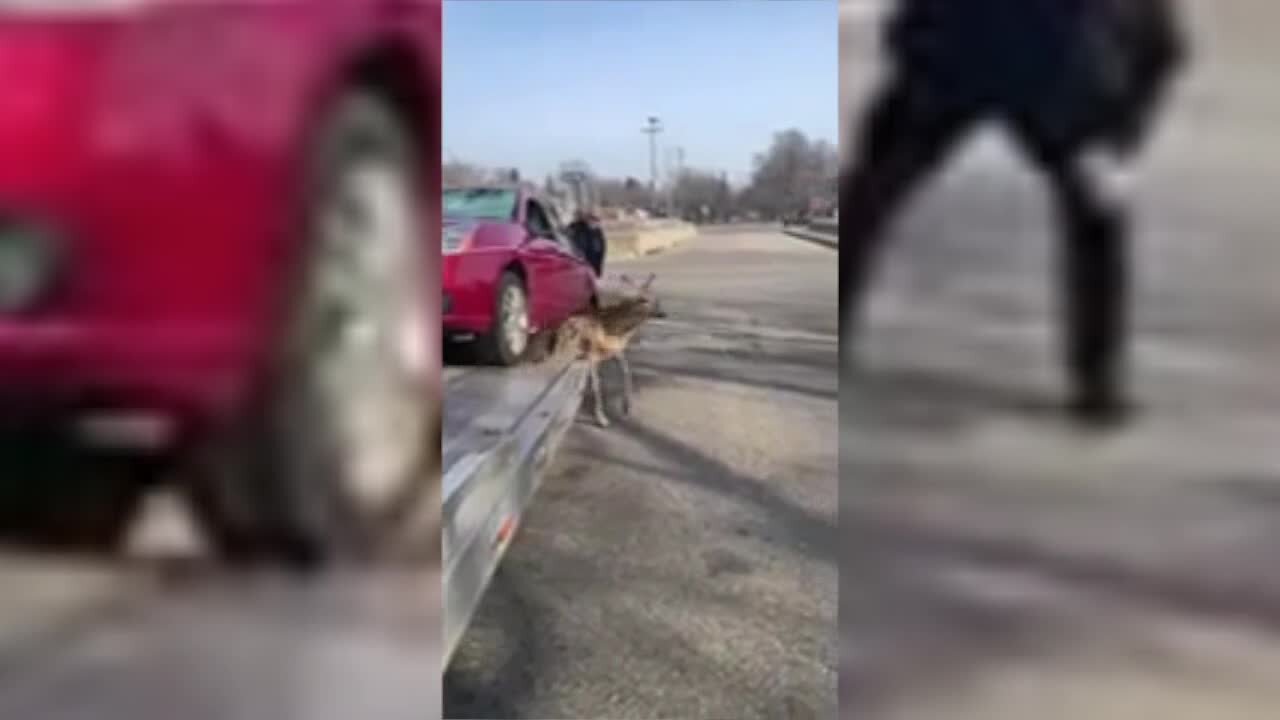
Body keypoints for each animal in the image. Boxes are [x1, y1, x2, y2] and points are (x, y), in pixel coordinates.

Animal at [555, 271, 665, 422]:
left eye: (657, 298)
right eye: (642, 300)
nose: (662, 313)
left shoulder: (616, 351)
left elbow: (626, 372)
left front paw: (626, 408)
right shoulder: (592, 354)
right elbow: (597, 384)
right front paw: (601, 417)